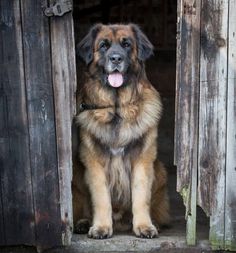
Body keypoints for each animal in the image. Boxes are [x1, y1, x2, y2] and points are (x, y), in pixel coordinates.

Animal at [72, 24, 170, 239]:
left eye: (126, 45)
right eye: (103, 45)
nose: (116, 59)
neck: (117, 108)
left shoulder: (142, 160)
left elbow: (141, 196)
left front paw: (144, 226)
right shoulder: (94, 162)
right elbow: (101, 198)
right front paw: (101, 227)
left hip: (160, 171)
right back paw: (82, 222)